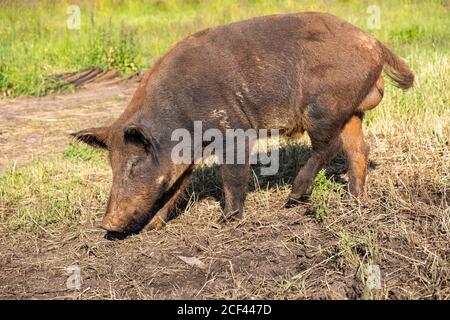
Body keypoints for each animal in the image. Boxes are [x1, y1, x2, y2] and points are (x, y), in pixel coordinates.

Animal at [72, 12, 414, 234]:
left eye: (134, 164)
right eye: (112, 165)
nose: (106, 224)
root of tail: (374, 42)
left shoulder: (234, 130)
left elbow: (232, 175)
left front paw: (225, 222)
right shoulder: (186, 155)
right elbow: (175, 187)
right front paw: (152, 228)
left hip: (324, 108)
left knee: (328, 147)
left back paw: (293, 199)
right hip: (351, 112)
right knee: (359, 150)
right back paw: (356, 201)